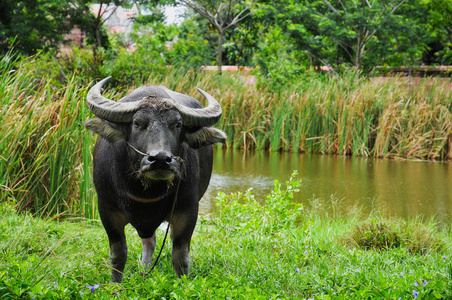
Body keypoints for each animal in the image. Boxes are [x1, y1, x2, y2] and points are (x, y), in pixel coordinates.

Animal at [84, 76, 226, 282]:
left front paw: (183, 284)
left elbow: (180, 256)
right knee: (149, 241)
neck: (145, 192)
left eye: (178, 125)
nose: (160, 159)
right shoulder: (106, 209)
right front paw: (115, 285)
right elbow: (118, 254)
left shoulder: (188, 210)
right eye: (137, 123)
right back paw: (144, 271)